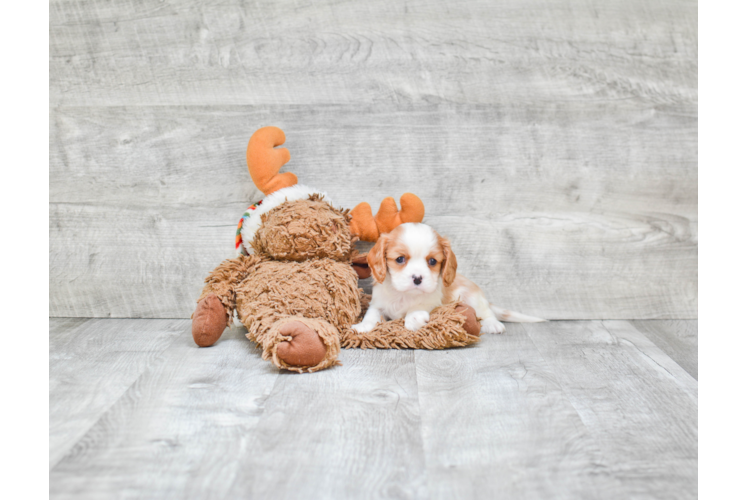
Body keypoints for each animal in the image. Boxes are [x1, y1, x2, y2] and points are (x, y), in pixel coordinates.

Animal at [352, 223, 544, 332]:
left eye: (432, 261)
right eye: (400, 259)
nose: (417, 278)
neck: (405, 295)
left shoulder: (434, 302)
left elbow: (417, 309)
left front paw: (413, 318)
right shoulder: (378, 303)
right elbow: (372, 314)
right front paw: (362, 326)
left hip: (471, 297)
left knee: (486, 312)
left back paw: (493, 324)